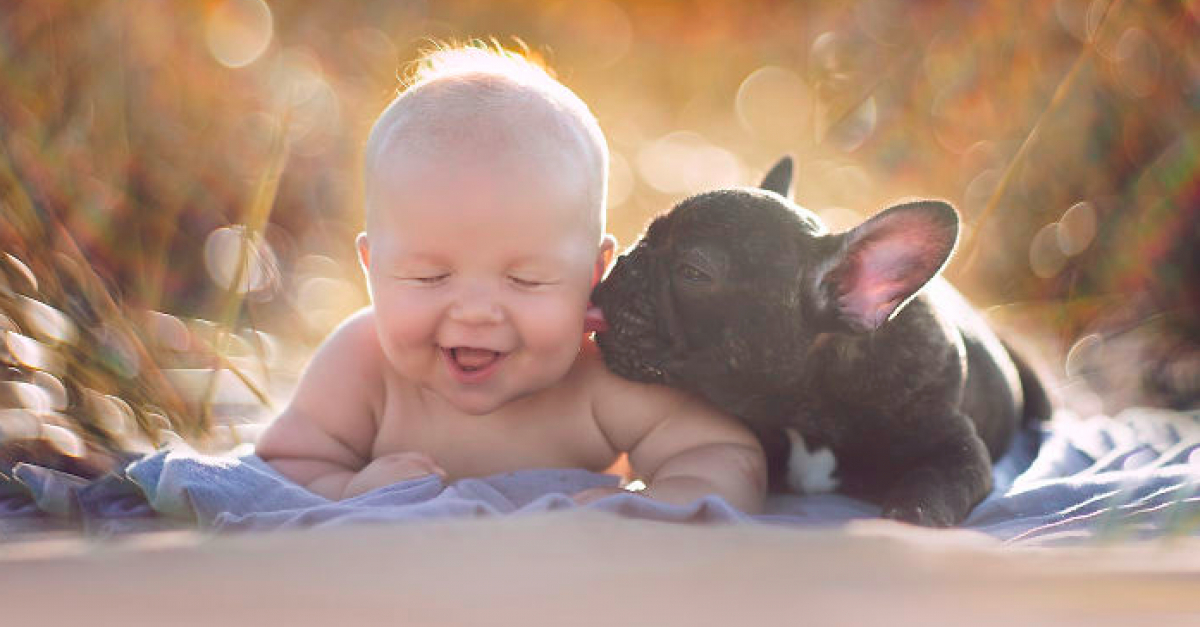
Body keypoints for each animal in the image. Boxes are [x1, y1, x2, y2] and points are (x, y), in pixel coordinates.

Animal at [592, 156, 1051, 521]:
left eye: (692, 272)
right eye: (647, 236)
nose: (624, 261)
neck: (808, 410)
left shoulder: (959, 451)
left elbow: (931, 491)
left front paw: (906, 519)